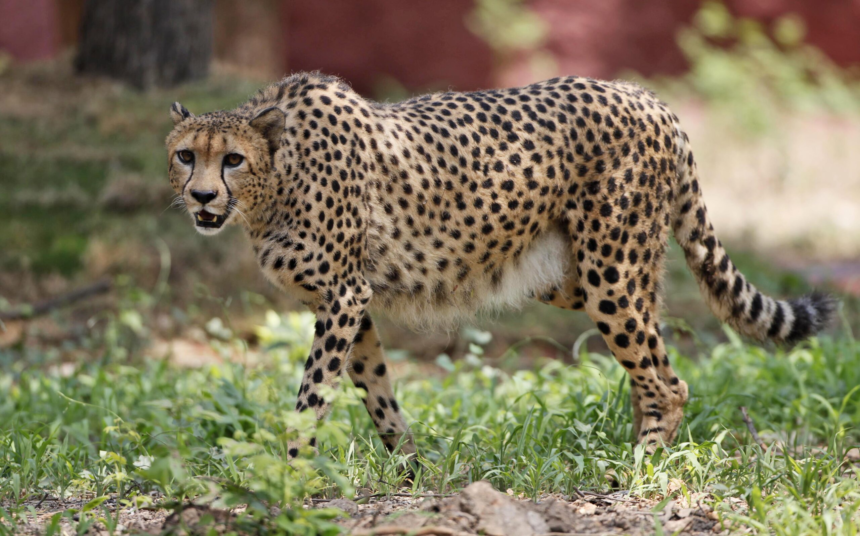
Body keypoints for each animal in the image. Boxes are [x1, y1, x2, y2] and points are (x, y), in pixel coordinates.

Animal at [165, 71, 835, 459]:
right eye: (184, 156)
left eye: (231, 159)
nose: (201, 197)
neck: (275, 182)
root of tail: (645, 96)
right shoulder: (349, 303)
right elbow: (375, 386)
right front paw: (410, 467)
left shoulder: (342, 298)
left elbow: (313, 394)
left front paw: (289, 474)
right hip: (578, 275)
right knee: (653, 355)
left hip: (609, 272)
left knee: (669, 382)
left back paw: (639, 470)